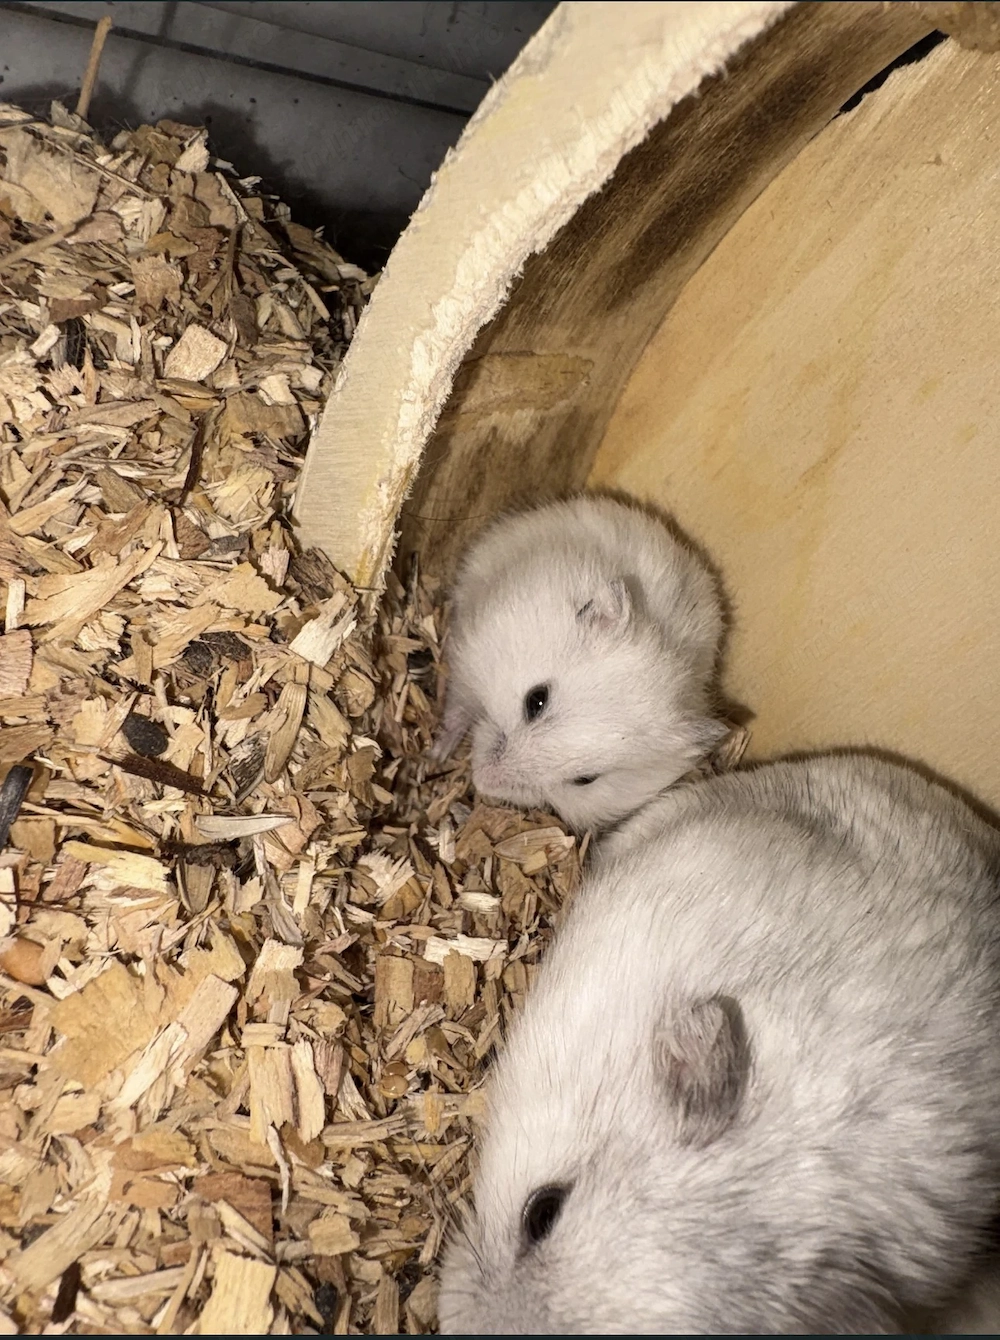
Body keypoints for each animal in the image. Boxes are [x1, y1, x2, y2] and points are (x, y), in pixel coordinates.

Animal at [432, 495, 726, 832]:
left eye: (585, 780)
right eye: (536, 700)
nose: (482, 780)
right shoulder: (470, 654)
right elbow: (458, 706)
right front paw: (436, 754)